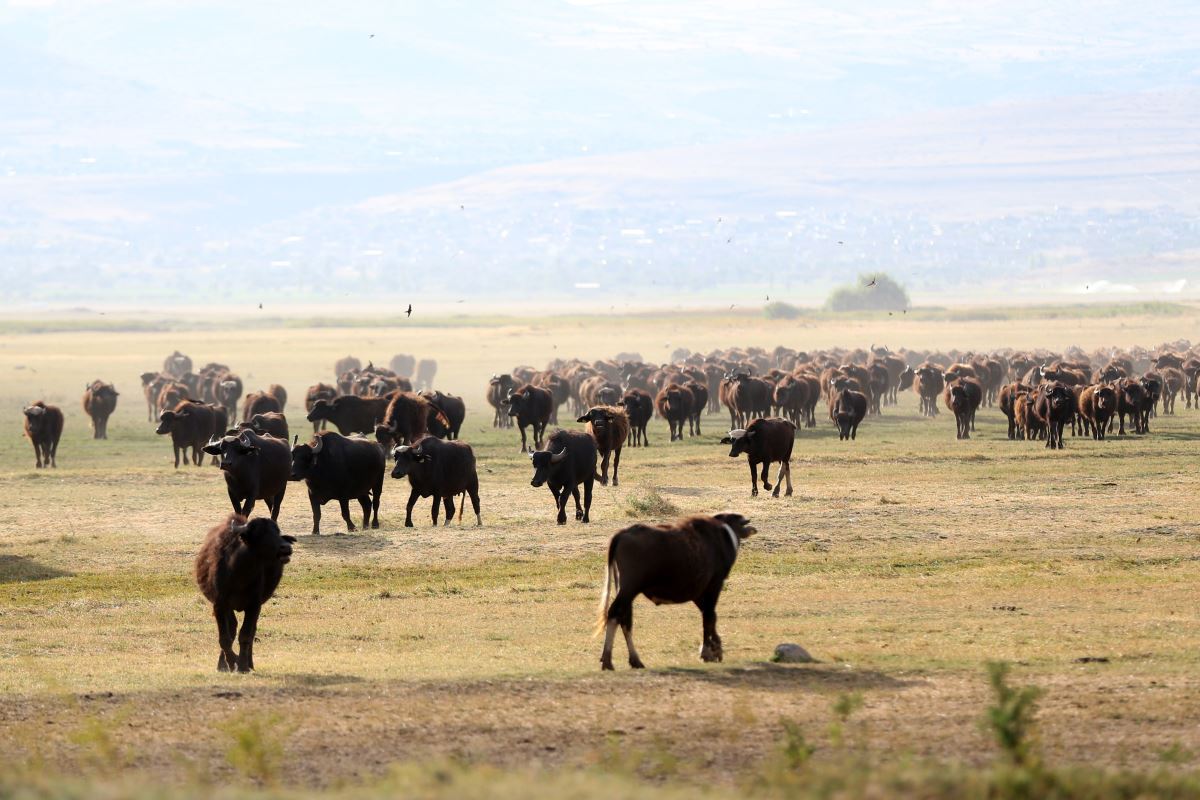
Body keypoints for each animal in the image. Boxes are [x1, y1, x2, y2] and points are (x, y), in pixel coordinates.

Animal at [195, 515, 294, 671]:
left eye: (277, 531)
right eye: (260, 533)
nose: (286, 547)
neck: (240, 574)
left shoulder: (254, 606)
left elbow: (246, 635)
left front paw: (243, 666)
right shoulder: (219, 605)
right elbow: (225, 638)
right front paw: (231, 662)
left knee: (250, 631)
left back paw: (250, 663)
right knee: (232, 629)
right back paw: (222, 665)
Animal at [597, 513, 753, 671]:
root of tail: (623, 533)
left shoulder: (698, 594)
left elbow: (709, 616)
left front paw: (715, 648)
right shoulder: (714, 586)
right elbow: (709, 618)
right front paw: (707, 652)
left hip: (626, 591)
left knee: (624, 618)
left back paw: (634, 661)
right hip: (630, 589)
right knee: (615, 613)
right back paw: (609, 660)